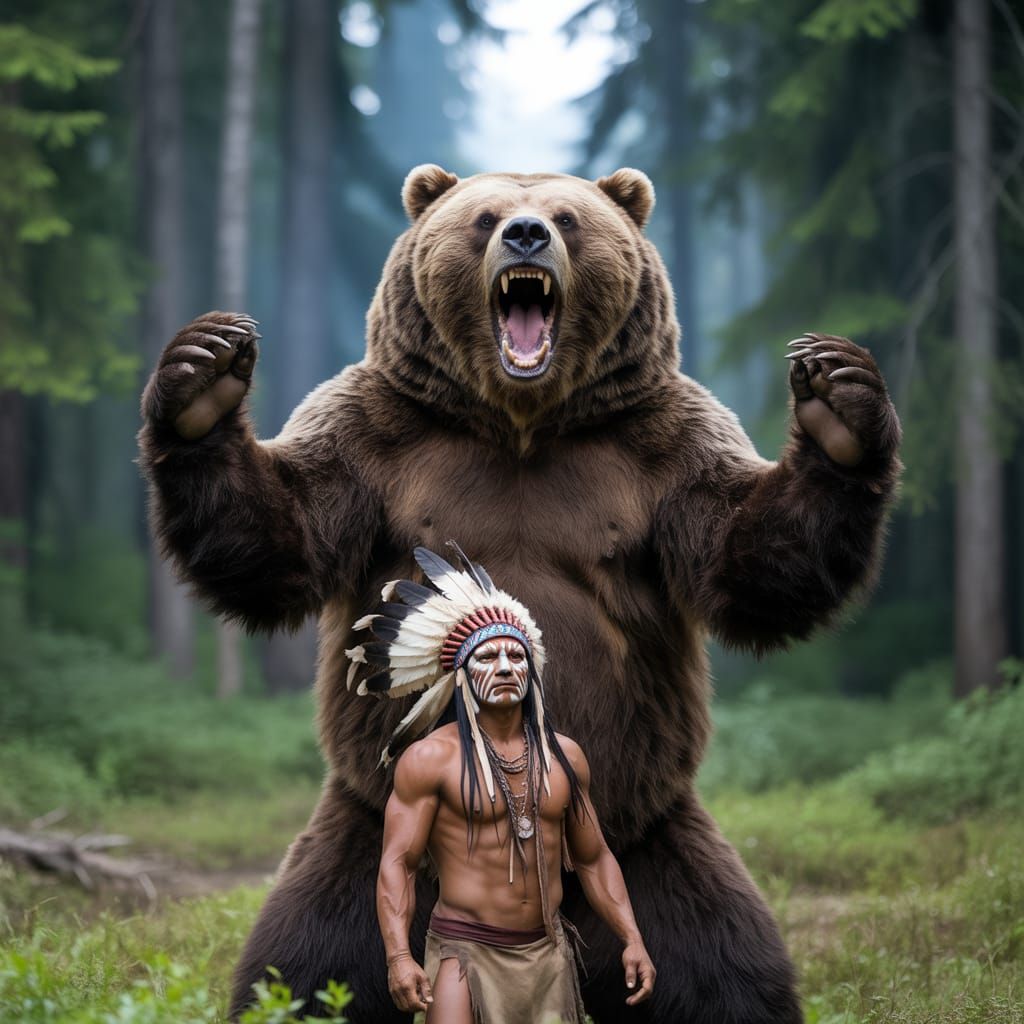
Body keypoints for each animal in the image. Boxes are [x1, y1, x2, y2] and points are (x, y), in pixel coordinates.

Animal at [139, 165, 901, 1023]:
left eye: (567, 217)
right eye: (486, 217)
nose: (528, 234)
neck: (522, 419)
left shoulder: (661, 449)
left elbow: (750, 560)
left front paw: (839, 403)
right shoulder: (378, 438)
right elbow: (280, 537)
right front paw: (202, 378)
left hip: (647, 844)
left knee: (724, 966)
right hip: (368, 835)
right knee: (306, 964)